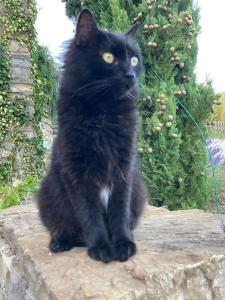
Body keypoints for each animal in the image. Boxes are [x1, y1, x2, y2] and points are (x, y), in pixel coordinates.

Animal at [37, 8, 148, 262]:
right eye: (108, 57)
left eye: (134, 60)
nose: (130, 75)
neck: (103, 113)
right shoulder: (77, 172)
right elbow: (90, 213)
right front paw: (100, 246)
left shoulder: (124, 169)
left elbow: (119, 210)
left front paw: (123, 244)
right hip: (47, 192)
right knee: (60, 226)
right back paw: (61, 242)